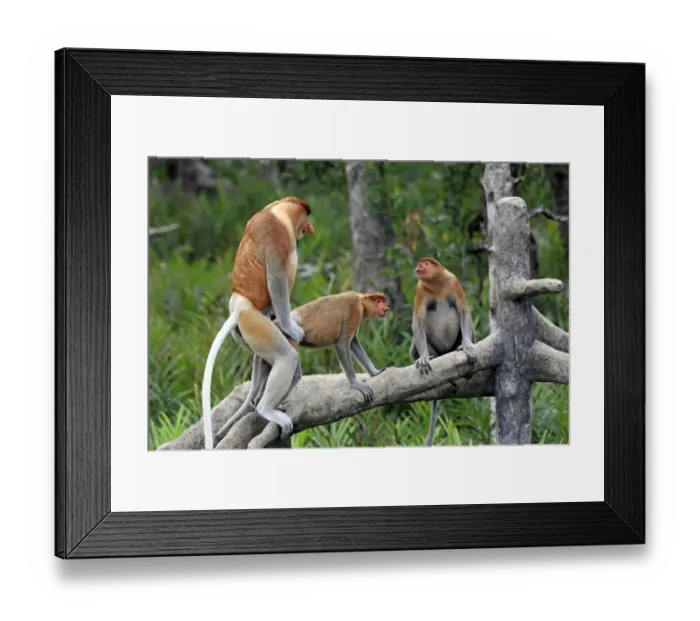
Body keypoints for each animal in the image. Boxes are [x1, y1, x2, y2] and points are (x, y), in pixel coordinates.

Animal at [201, 197, 314, 450]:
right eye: (306, 216)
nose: (309, 228)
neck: (277, 210)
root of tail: (239, 308)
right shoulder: (274, 234)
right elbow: (276, 279)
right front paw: (292, 328)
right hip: (253, 324)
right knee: (286, 357)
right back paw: (265, 408)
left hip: (245, 333)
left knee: (267, 360)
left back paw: (259, 401)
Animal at [214, 291, 391, 446]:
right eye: (378, 300)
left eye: (383, 300)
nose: (386, 308)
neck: (361, 300)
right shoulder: (352, 312)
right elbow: (342, 344)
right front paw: (356, 384)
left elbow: (354, 343)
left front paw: (375, 372)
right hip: (283, 339)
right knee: (290, 366)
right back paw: (266, 408)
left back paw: (264, 404)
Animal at [409, 257, 478, 447]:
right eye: (419, 264)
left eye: (424, 264)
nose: (418, 267)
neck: (436, 284)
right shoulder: (420, 289)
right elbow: (417, 322)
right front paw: (423, 358)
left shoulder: (453, 282)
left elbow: (463, 311)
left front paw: (467, 346)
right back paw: (431, 357)